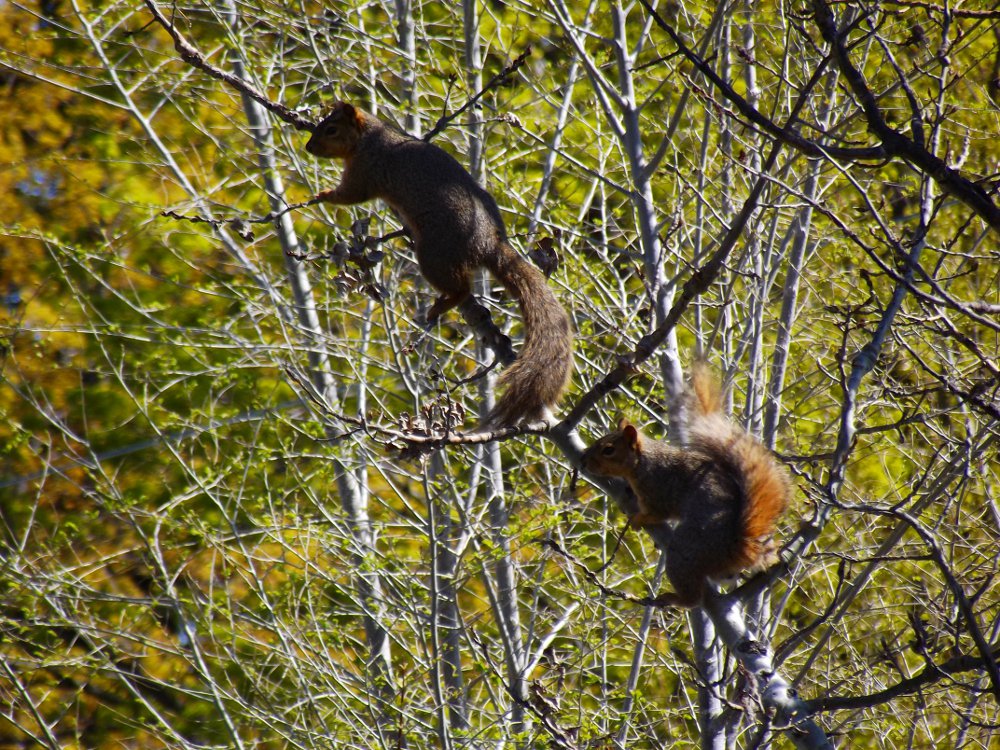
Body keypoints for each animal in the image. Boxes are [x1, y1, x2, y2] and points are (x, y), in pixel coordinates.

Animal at [302, 101, 572, 428]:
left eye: (331, 129)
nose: (309, 147)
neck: (369, 140)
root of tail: (489, 243)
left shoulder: (366, 171)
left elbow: (351, 195)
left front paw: (324, 194)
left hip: (433, 255)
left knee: (461, 288)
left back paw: (442, 304)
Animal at [580, 364, 788, 612]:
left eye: (609, 450)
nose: (584, 460)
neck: (642, 462)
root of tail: (737, 547)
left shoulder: (659, 487)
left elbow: (658, 512)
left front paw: (640, 518)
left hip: (684, 551)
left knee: (693, 597)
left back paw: (674, 598)